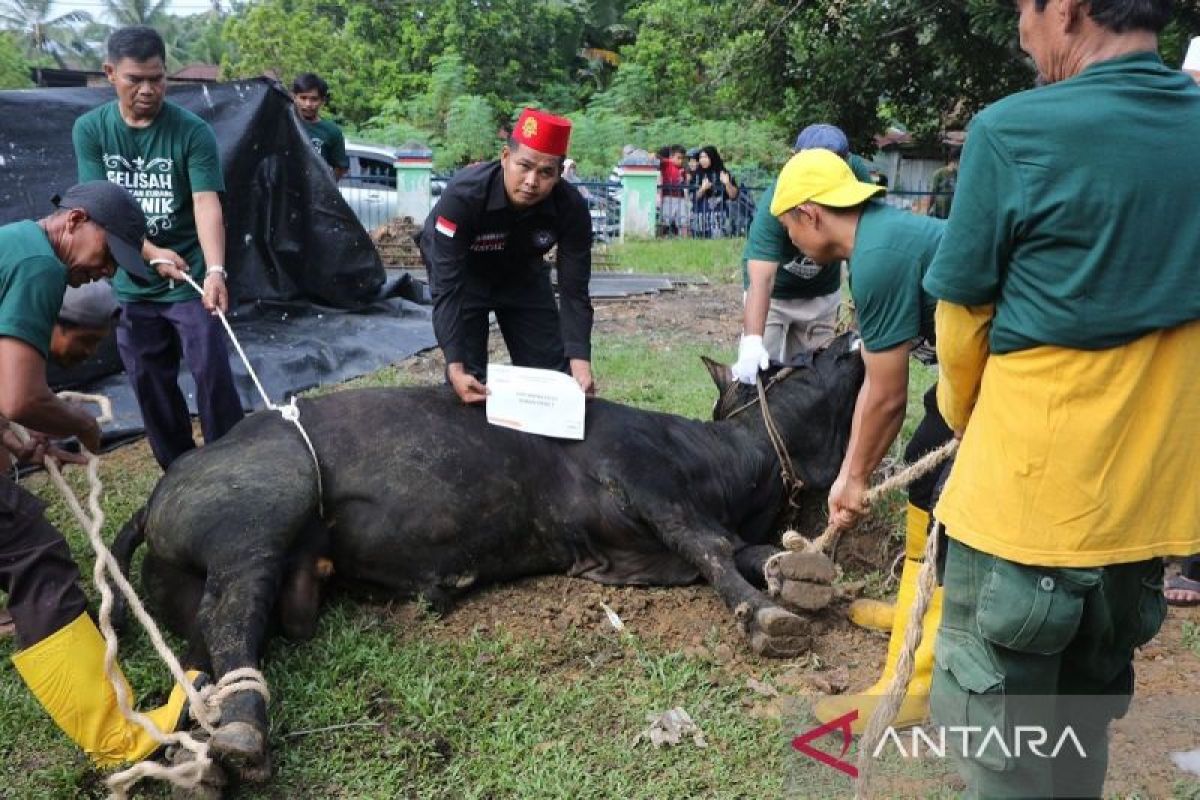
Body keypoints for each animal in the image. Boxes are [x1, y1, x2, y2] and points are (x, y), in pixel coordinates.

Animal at [114, 331, 864, 782]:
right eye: (819, 353)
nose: (853, 336)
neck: (725, 462)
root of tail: (166, 481)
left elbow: (747, 550)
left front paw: (802, 576)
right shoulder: (647, 482)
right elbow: (713, 548)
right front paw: (768, 617)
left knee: (204, 652)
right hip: (260, 514)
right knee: (231, 614)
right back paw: (242, 736)